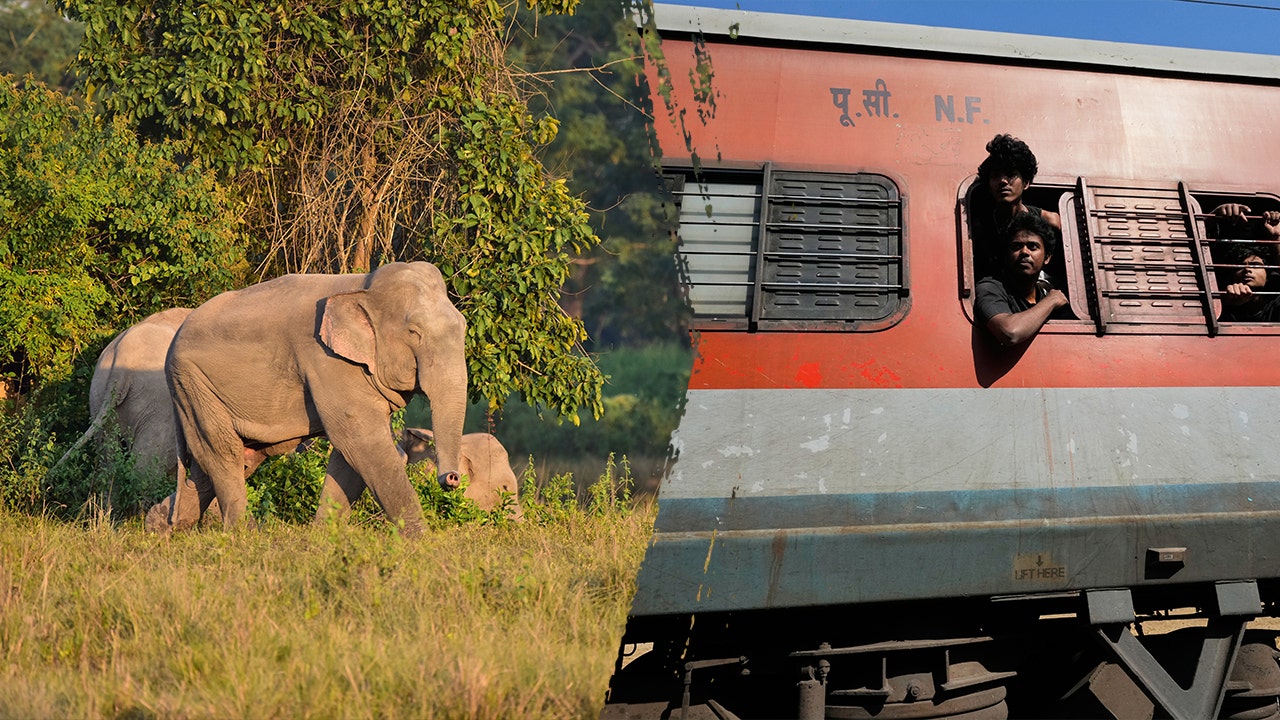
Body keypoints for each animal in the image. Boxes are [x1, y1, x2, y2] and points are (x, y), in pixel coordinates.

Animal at [150, 261, 467, 538]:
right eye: (414, 332)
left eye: (464, 326)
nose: (452, 478)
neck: (361, 287)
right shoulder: (327, 360)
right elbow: (361, 440)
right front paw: (422, 541)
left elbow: (349, 454)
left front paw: (323, 536)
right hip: (193, 385)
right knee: (223, 454)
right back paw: (242, 534)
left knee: (223, 463)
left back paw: (162, 526)